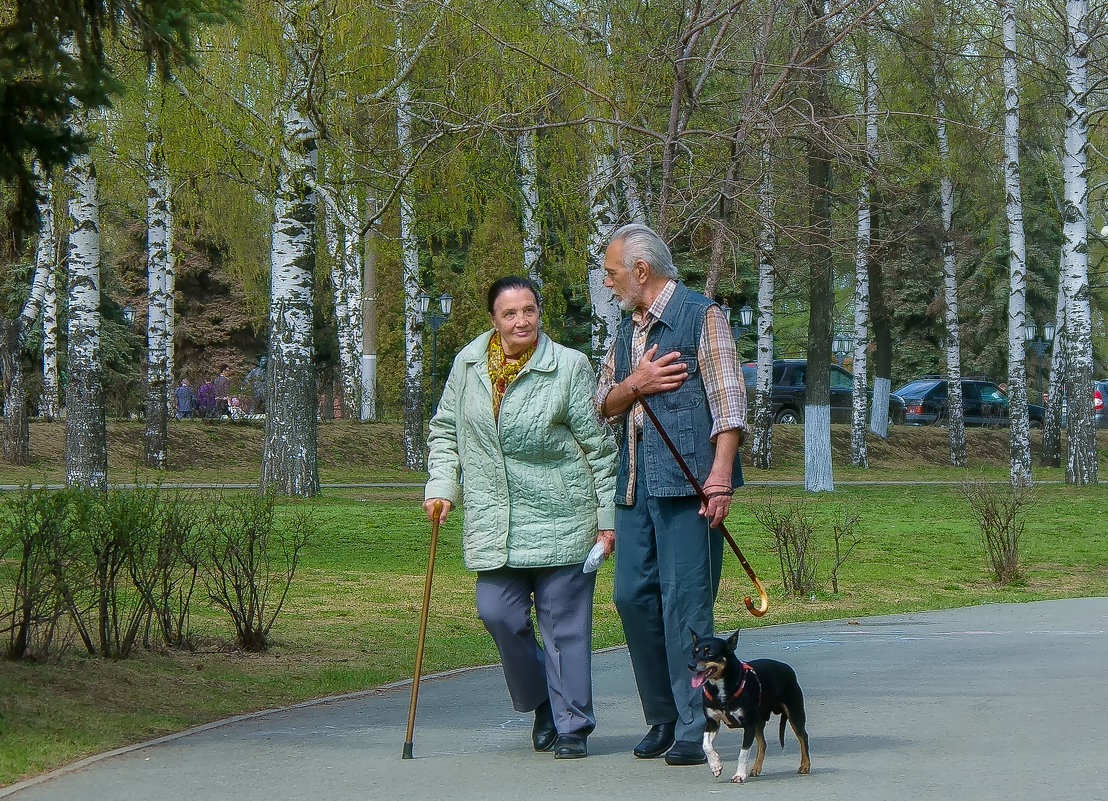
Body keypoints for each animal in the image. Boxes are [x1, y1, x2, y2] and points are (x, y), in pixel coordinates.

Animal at [686, 629, 811, 779]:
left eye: (709, 653)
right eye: (694, 652)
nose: (691, 665)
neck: (721, 689)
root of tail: (787, 668)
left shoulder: (748, 724)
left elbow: (743, 753)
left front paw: (739, 775)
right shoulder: (712, 723)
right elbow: (706, 745)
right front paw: (715, 765)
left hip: (794, 713)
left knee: (803, 737)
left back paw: (805, 765)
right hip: (759, 722)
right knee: (763, 744)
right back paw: (756, 768)